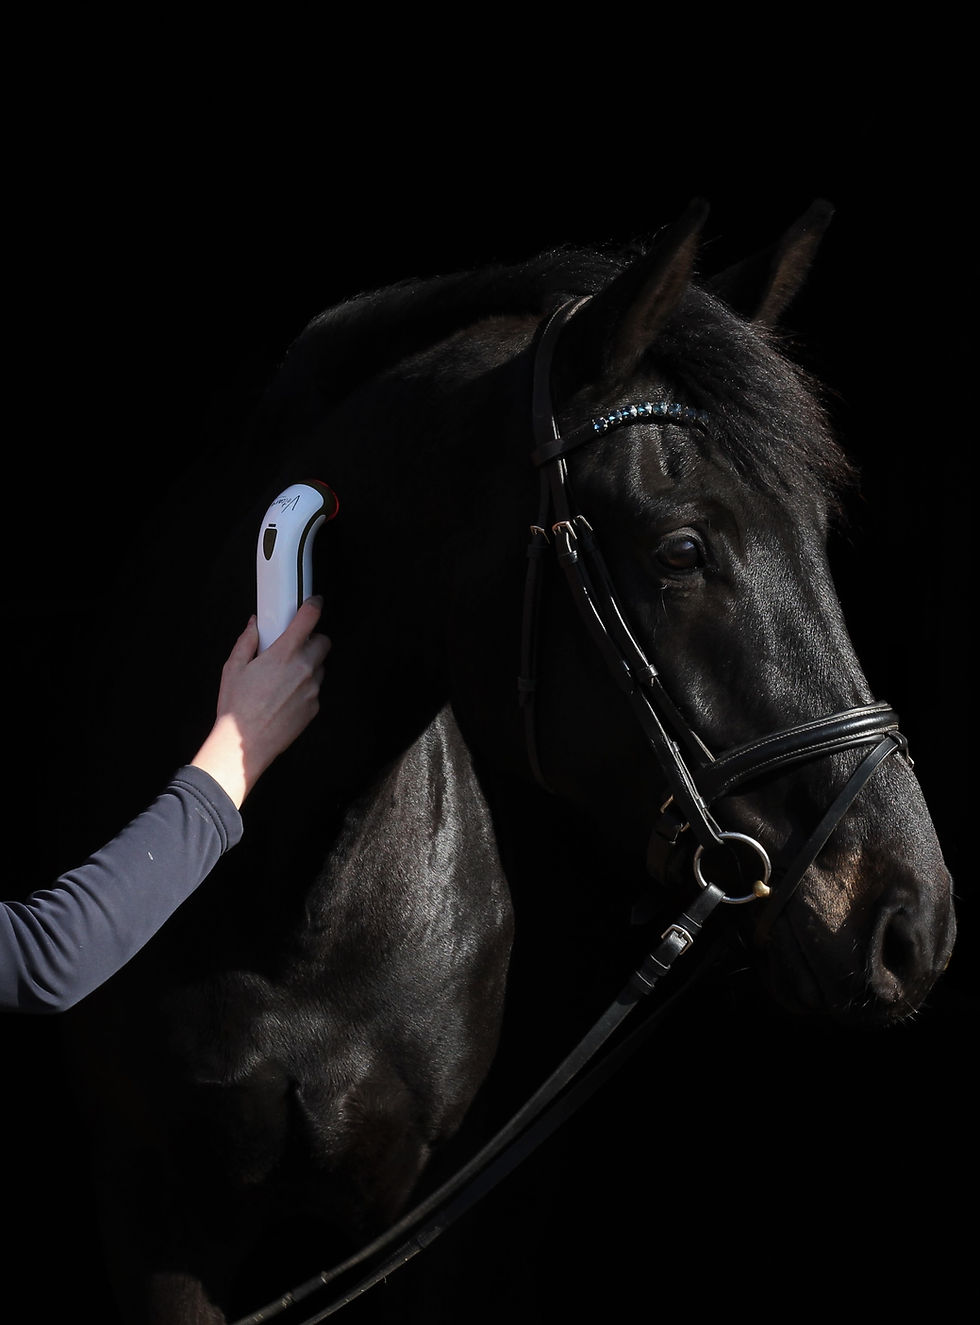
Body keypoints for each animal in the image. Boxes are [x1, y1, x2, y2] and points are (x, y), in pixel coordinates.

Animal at [61, 200, 956, 1324]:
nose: (910, 923)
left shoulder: (419, 1219)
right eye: (680, 550)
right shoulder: (156, 1220)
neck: (293, 908)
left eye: (819, 534)